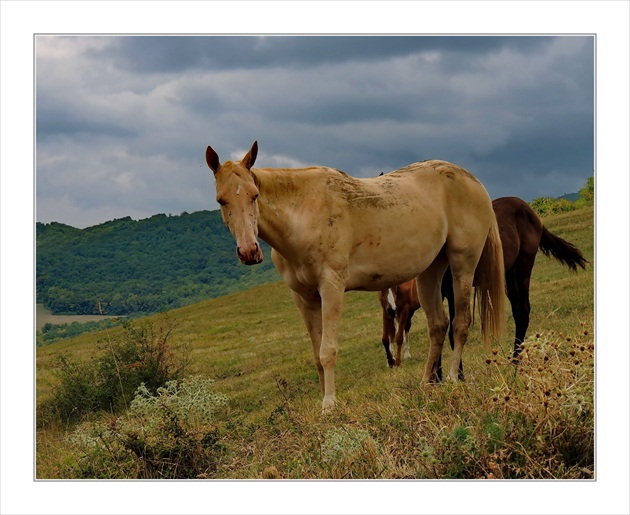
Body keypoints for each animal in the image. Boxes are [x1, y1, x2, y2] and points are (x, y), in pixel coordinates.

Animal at [207, 141, 508, 412]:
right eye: (221, 200)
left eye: (254, 195)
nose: (249, 251)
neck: (303, 212)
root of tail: (473, 180)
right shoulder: (303, 298)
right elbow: (316, 354)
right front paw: (324, 400)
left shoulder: (331, 287)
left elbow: (328, 350)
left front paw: (330, 404)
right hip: (430, 272)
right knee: (438, 326)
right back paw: (425, 384)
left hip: (463, 266)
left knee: (460, 323)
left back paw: (454, 379)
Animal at [442, 196, 592, 380]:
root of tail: (527, 208)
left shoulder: (451, 288)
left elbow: (452, 330)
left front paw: (458, 379)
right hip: (507, 276)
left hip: (522, 268)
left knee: (522, 312)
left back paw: (515, 365)